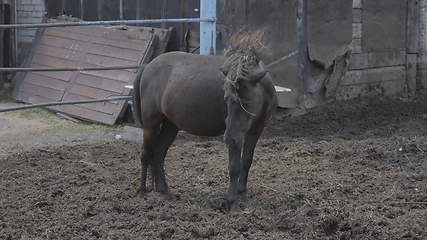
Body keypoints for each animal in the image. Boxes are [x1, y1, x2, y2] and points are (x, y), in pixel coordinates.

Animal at [132, 32, 278, 210]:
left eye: (247, 101)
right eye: (226, 99)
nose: (229, 138)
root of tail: (147, 67)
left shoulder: (256, 130)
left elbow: (246, 161)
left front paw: (242, 194)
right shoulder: (238, 134)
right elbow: (234, 166)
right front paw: (232, 201)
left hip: (170, 125)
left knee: (158, 154)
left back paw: (164, 192)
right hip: (150, 125)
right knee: (146, 155)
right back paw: (142, 192)